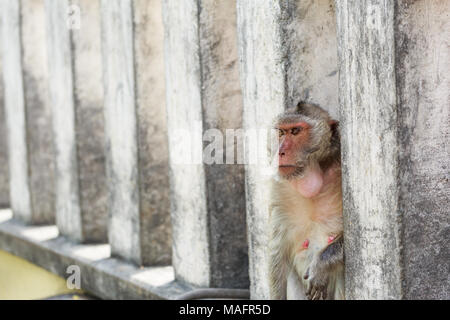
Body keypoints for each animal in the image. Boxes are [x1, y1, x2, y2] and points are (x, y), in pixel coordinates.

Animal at [268, 102, 344, 300]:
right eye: (281, 132)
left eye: (295, 131)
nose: (280, 152)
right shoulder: (279, 188)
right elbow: (277, 255)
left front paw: (321, 266)